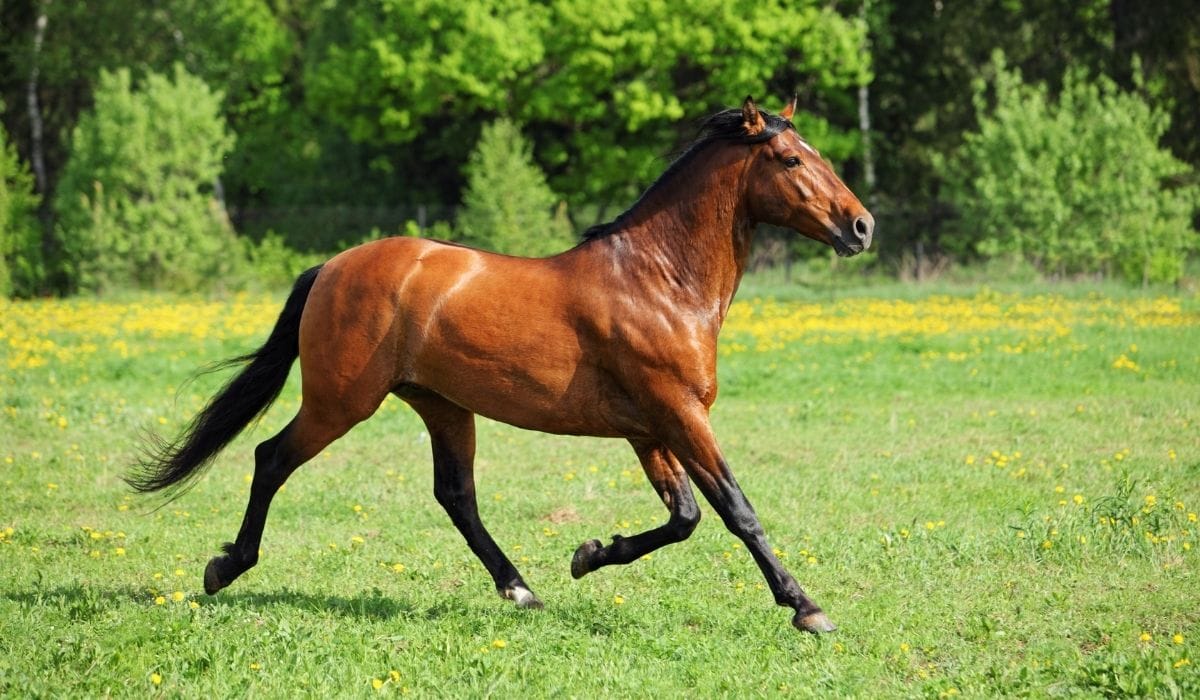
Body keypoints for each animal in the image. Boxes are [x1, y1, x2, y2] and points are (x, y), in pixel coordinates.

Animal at [128, 96, 873, 634]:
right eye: (789, 159)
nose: (861, 226)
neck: (659, 282)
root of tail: (332, 267)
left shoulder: (651, 429)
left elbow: (685, 517)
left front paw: (588, 555)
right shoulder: (679, 415)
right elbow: (735, 510)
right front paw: (807, 609)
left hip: (442, 405)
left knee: (455, 495)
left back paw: (521, 589)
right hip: (342, 402)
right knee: (271, 458)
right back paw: (226, 567)